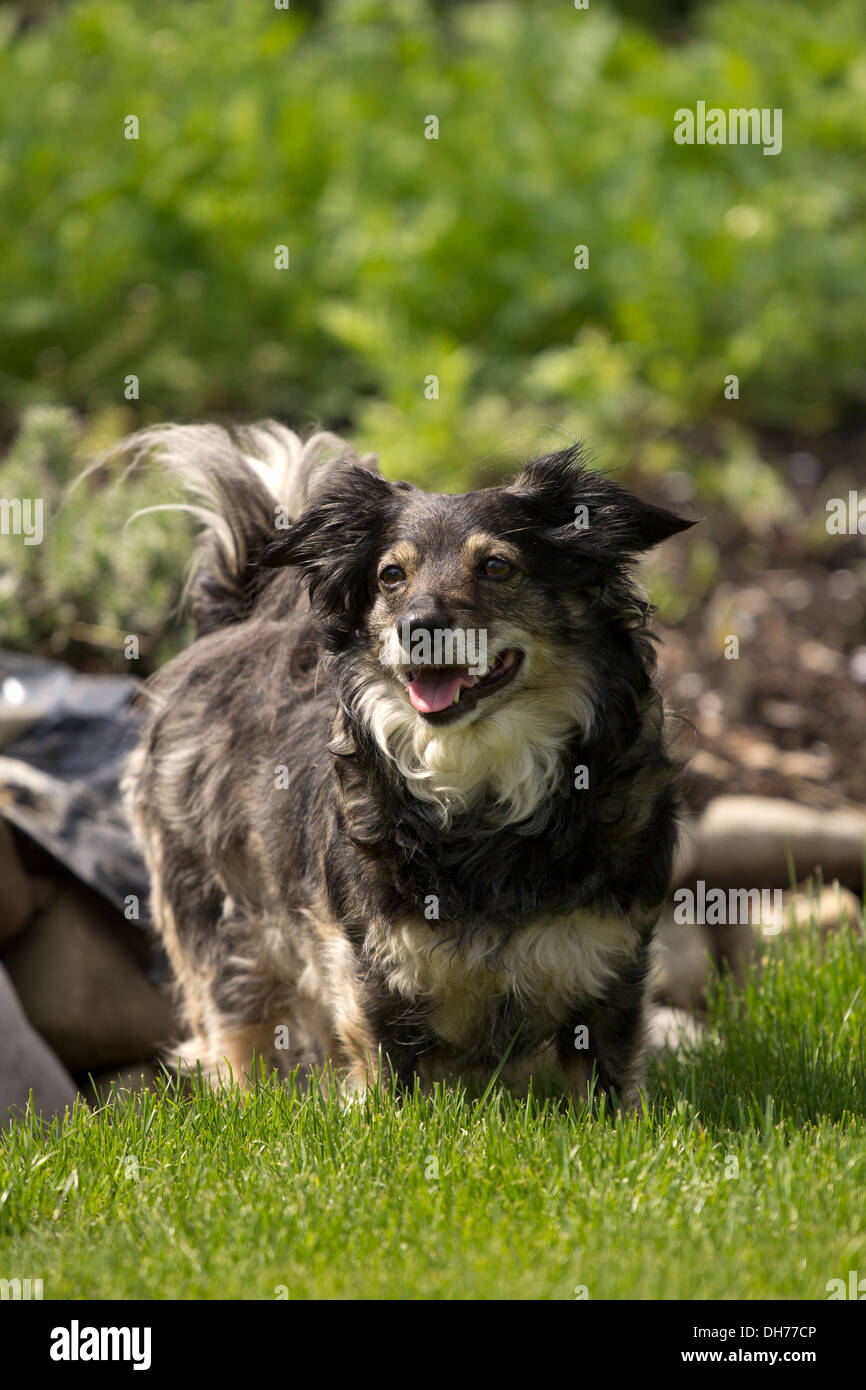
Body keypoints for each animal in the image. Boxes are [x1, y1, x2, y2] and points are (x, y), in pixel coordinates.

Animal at [122, 422, 695, 1106]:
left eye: (497, 566)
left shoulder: (608, 968)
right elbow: (388, 1094)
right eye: (391, 575)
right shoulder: (375, 976)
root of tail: (233, 623)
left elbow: (608, 1090)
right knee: (237, 1034)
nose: (418, 626)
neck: (480, 778)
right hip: (222, 926)